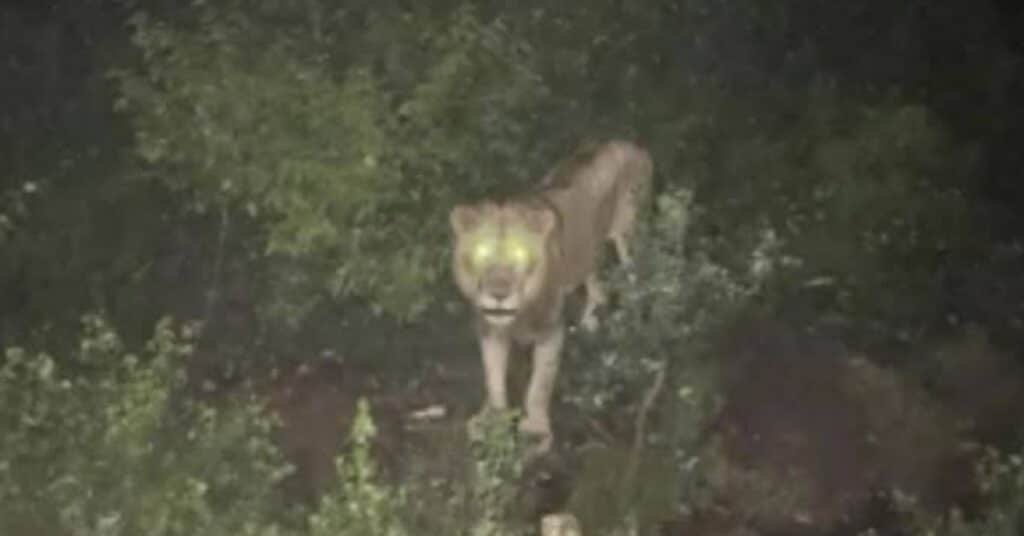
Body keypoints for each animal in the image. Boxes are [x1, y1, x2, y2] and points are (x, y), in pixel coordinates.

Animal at [449, 140, 653, 453]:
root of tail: (633, 144)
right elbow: (492, 376)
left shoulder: (551, 331)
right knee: (598, 288)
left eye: (520, 254)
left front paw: (536, 431)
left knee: (636, 278)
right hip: (589, 252)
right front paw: (491, 419)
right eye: (482, 254)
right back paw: (591, 323)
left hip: (628, 234)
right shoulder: (490, 330)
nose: (498, 294)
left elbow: (539, 384)